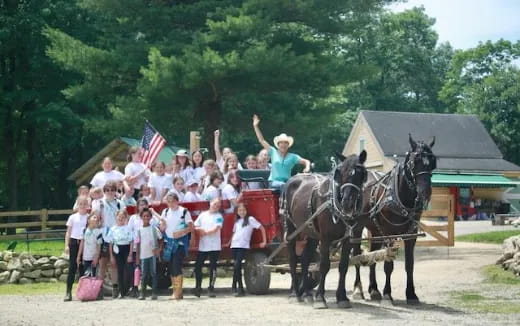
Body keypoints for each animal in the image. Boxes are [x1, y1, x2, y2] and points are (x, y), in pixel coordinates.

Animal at [282, 150, 368, 308]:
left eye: (361, 173)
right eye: (340, 172)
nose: (347, 202)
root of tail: (292, 179)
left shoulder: (347, 239)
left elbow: (343, 266)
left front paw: (342, 297)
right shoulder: (325, 238)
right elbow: (323, 265)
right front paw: (320, 298)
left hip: (311, 233)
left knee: (305, 259)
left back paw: (307, 293)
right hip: (291, 229)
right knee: (293, 259)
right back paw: (295, 293)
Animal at [354, 134, 434, 304]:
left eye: (432, 162)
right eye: (414, 161)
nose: (425, 192)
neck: (400, 198)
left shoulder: (411, 235)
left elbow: (409, 264)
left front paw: (411, 294)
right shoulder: (389, 234)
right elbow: (388, 265)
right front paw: (387, 294)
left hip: (376, 230)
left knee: (372, 254)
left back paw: (374, 290)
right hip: (357, 228)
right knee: (356, 254)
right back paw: (358, 290)